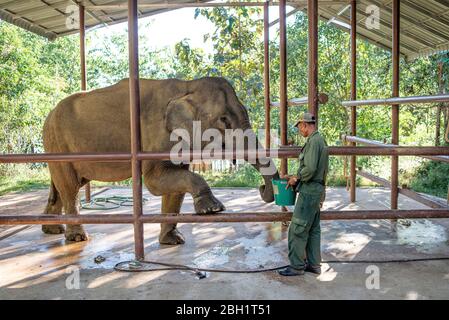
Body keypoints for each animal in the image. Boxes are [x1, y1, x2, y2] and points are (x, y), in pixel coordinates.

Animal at [43, 77, 280, 245]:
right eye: (224, 120)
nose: (261, 188)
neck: (187, 86)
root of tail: (50, 113)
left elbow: (175, 186)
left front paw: (173, 241)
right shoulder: (153, 135)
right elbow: (154, 182)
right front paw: (213, 209)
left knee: (62, 186)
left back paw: (52, 230)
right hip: (58, 144)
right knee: (70, 187)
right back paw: (76, 238)